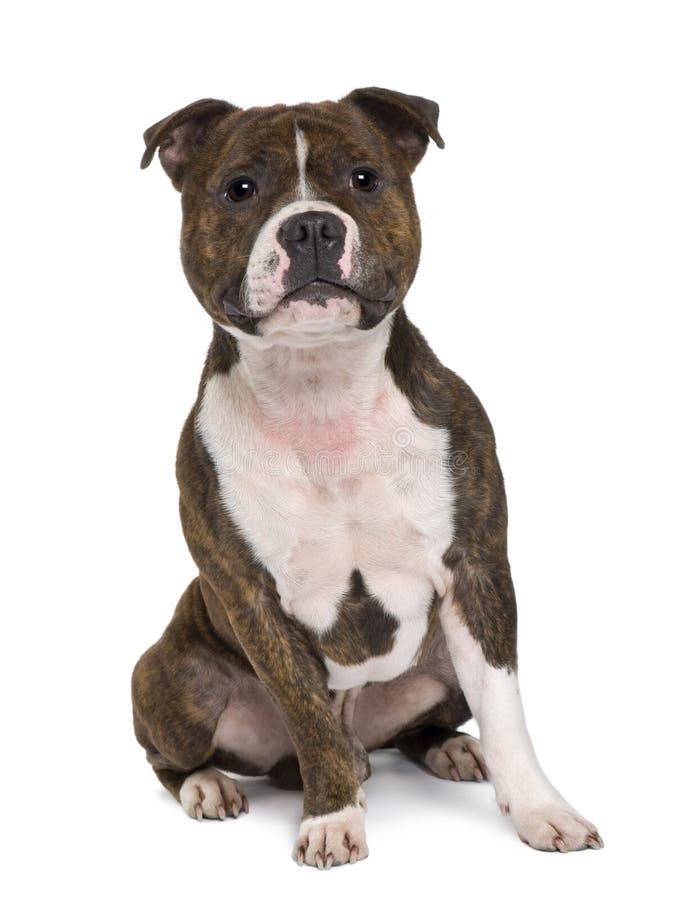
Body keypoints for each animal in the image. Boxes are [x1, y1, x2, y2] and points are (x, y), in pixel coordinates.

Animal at [132, 89, 604, 864]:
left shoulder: (476, 572)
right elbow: (309, 716)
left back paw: (450, 749)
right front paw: (332, 819)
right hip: (171, 679)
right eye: (239, 188)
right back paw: (211, 785)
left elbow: (506, 712)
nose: (312, 226)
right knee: (173, 755)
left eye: (364, 178)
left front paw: (541, 811)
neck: (320, 389)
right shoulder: (252, 600)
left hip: (441, 663)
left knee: (423, 724)